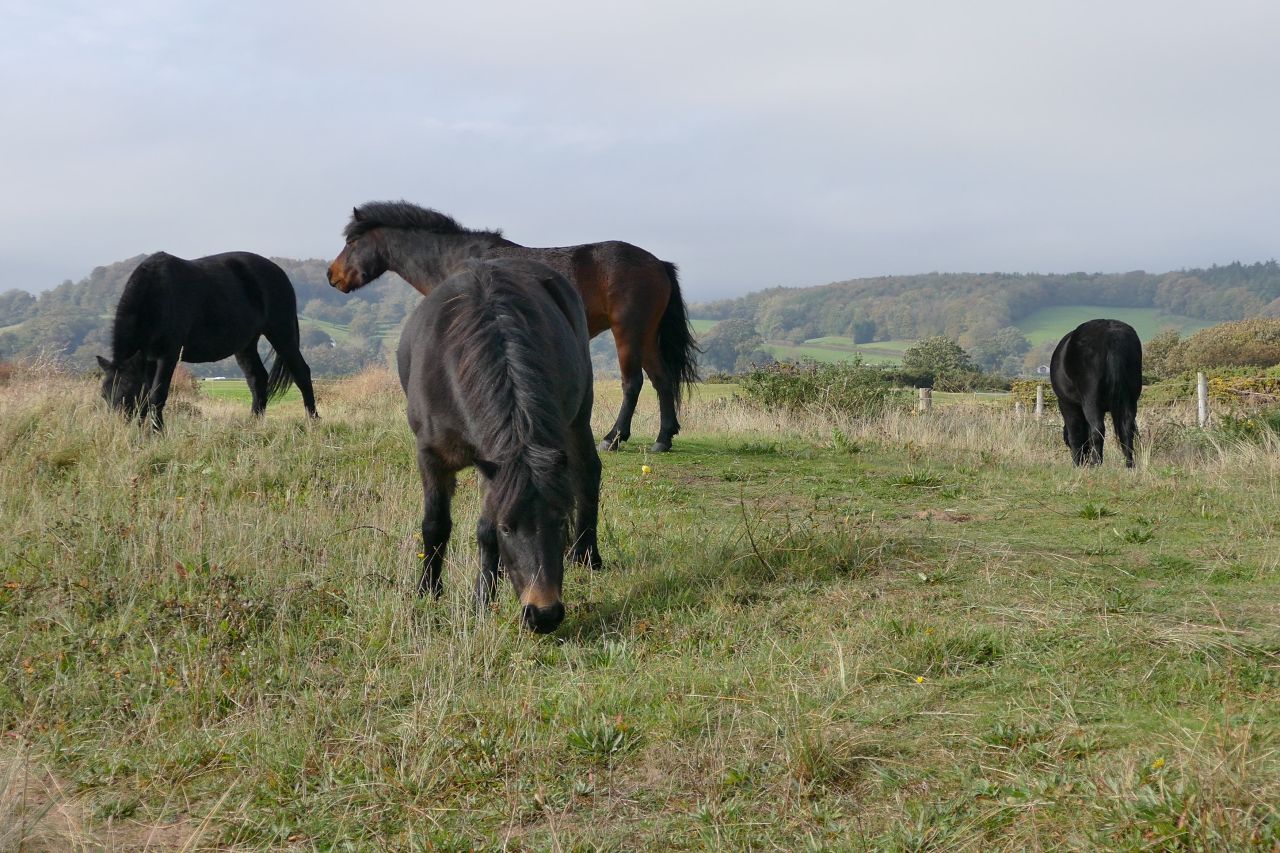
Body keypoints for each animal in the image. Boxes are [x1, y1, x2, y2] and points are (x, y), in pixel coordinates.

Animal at [97, 251, 318, 429]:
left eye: (127, 391)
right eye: (104, 394)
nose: (116, 427)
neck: (156, 293)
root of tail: (279, 273)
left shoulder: (168, 355)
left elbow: (157, 395)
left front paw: (156, 432)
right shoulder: (148, 358)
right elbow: (147, 393)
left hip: (281, 334)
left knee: (301, 373)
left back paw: (313, 421)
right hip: (246, 344)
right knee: (258, 379)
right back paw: (253, 423)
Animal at [327, 201, 699, 452]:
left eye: (352, 243)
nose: (332, 276)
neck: (456, 261)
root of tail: (657, 263)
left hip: (629, 333)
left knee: (633, 384)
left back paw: (613, 438)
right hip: (647, 337)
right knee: (663, 381)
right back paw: (663, 439)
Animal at [398, 255, 602, 633]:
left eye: (559, 522)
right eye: (509, 527)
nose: (544, 614)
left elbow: (483, 531)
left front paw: (482, 599)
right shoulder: (434, 458)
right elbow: (436, 525)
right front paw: (429, 592)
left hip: (578, 419)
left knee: (588, 474)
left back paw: (587, 556)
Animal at [1050, 319, 1142, 467]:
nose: (1084, 461)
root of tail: (1111, 333)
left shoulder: (1067, 404)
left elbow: (1075, 433)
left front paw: (1076, 464)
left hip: (1091, 401)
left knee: (1097, 430)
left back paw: (1096, 463)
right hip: (1130, 401)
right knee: (1127, 429)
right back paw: (1129, 465)